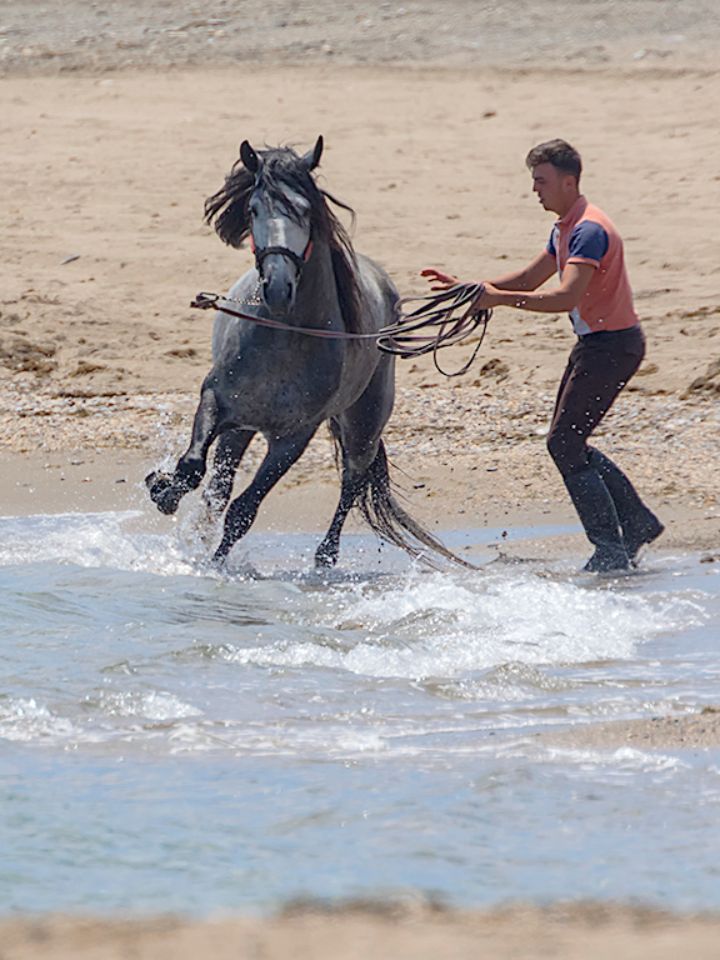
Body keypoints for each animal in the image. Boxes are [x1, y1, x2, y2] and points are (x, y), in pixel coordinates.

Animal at [146, 136, 463, 570]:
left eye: (305, 209)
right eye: (253, 208)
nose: (278, 287)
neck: (284, 337)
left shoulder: (292, 438)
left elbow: (244, 511)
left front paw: (216, 566)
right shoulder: (218, 401)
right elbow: (195, 469)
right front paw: (162, 491)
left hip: (363, 427)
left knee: (351, 483)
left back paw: (325, 558)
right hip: (241, 428)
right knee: (218, 486)